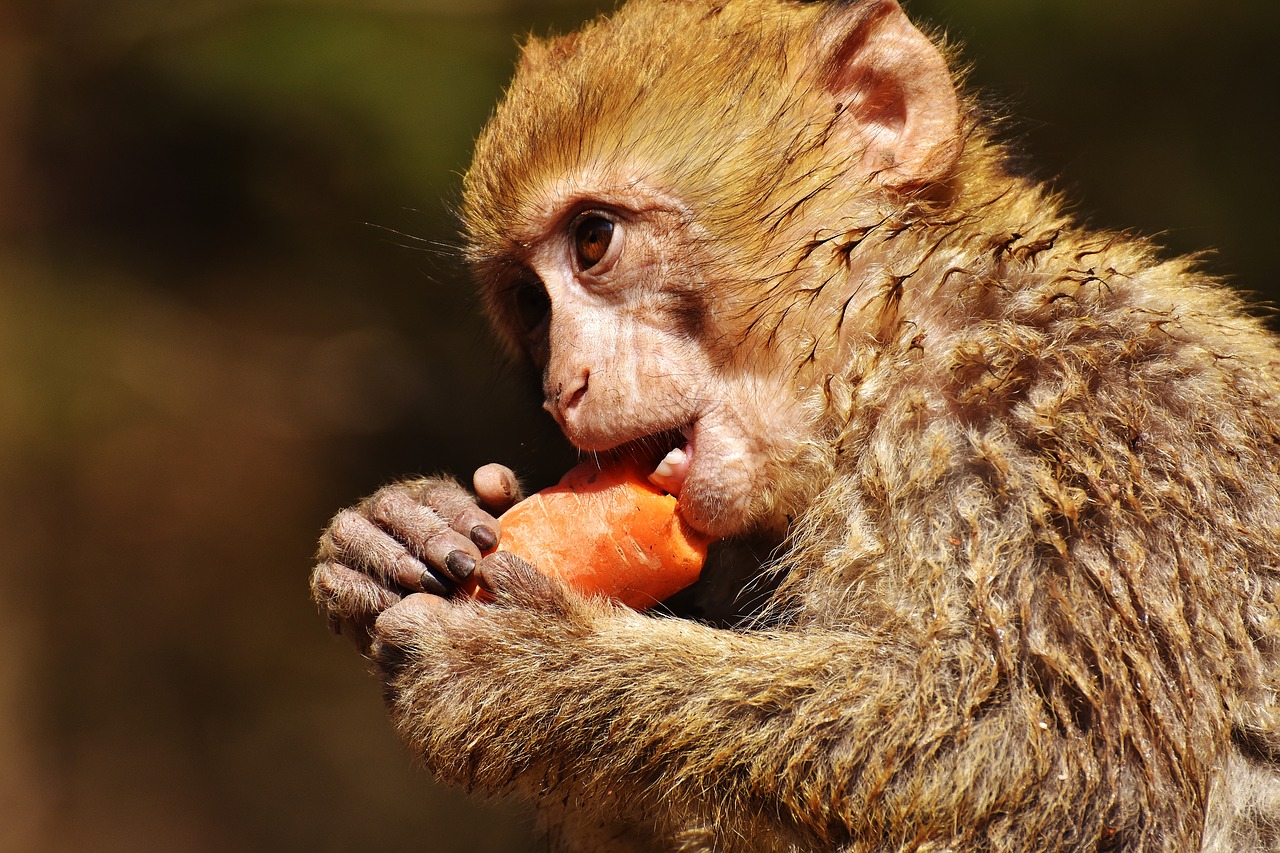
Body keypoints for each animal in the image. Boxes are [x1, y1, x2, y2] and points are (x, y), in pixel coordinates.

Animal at [309, 0, 1280, 845]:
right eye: (528, 304)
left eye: (592, 242)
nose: (562, 385)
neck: (894, 347)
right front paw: (400, 527)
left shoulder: (1079, 429)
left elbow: (1076, 788)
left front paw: (529, 674)